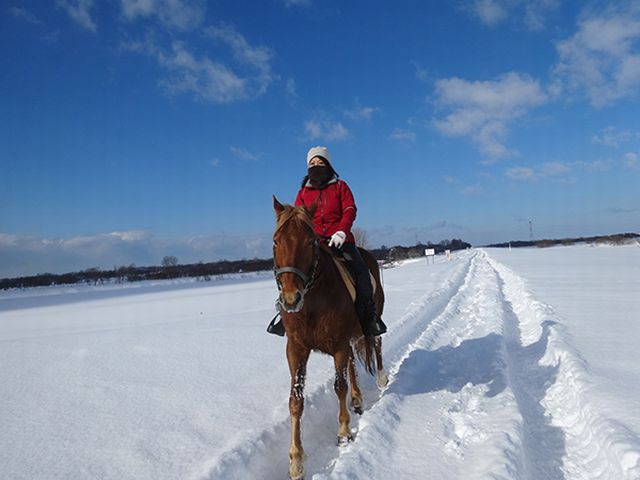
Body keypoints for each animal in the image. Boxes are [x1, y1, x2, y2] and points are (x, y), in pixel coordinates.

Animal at [272, 197, 388, 478]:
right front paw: (296, 461)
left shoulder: (338, 346)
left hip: (372, 320)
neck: (314, 300)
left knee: (376, 344)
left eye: (310, 241)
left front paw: (344, 432)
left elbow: (339, 386)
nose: (291, 299)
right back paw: (357, 400)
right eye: (276, 241)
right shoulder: (296, 349)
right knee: (353, 364)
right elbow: (296, 400)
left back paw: (381, 378)